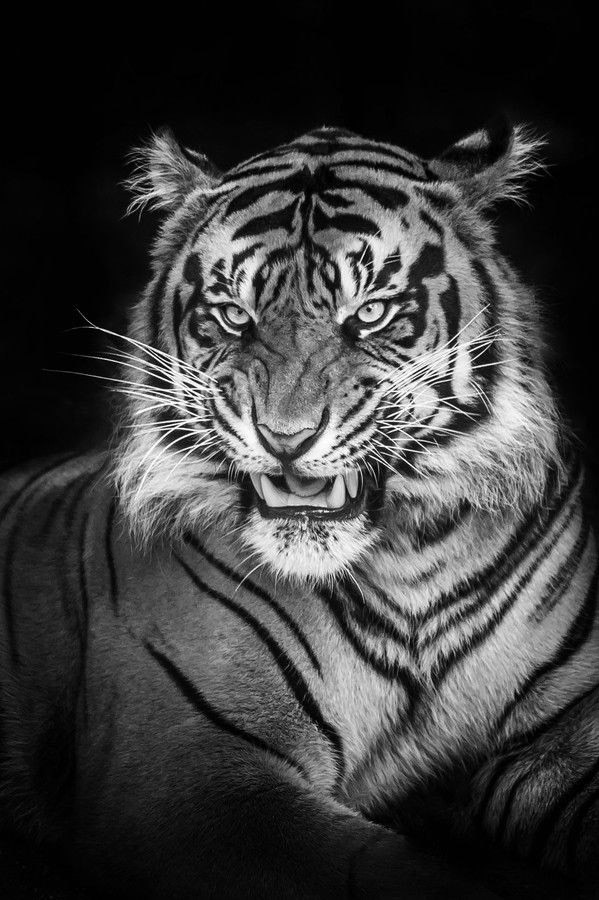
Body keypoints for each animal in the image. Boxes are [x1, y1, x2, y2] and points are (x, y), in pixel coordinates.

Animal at [0, 120, 597, 899]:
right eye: (233, 316)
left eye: (369, 313)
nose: (285, 437)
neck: (412, 561)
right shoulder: (193, 774)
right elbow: (390, 871)